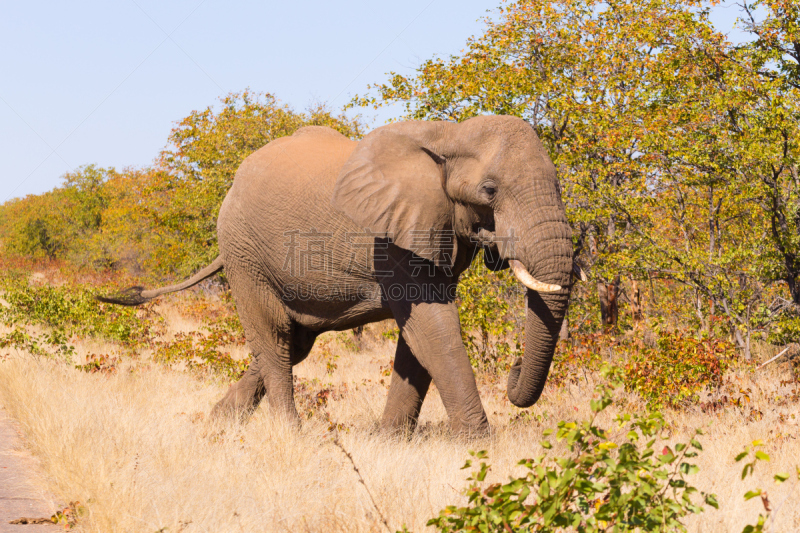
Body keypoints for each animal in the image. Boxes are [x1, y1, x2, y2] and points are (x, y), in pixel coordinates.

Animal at [101, 114, 576, 434]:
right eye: (489, 190)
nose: (514, 368)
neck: (449, 133)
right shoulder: (390, 238)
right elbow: (432, 328)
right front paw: (478, 447)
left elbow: (417, 339)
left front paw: (388, 443)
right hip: (243, 252)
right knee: (274, 338)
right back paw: (290, 437)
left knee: (292, 344)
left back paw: (216, 426)